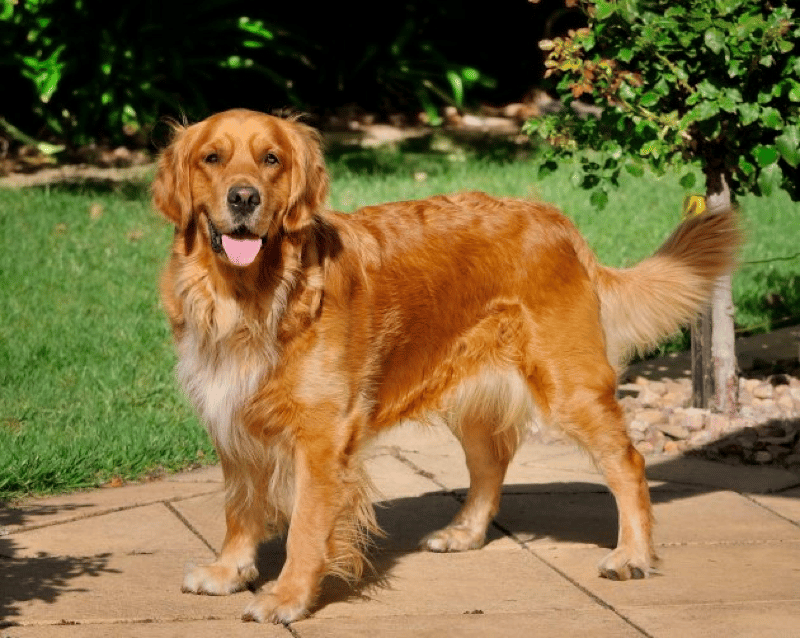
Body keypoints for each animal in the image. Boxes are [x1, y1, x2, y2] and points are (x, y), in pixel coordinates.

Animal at [153, 107, 740, 624]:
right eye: (212, 158)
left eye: (270, 159)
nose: (243, 197)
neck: (252, 296)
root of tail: (556, 219)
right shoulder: (232, 415)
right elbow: (240, 506)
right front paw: (230, 570)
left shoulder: (321, 436)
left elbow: (304, 527)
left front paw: (288, 597)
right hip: (470, 392)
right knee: (492, 462)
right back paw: (466, 532)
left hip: (568, 385)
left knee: (627, 463)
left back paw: (633, 555)